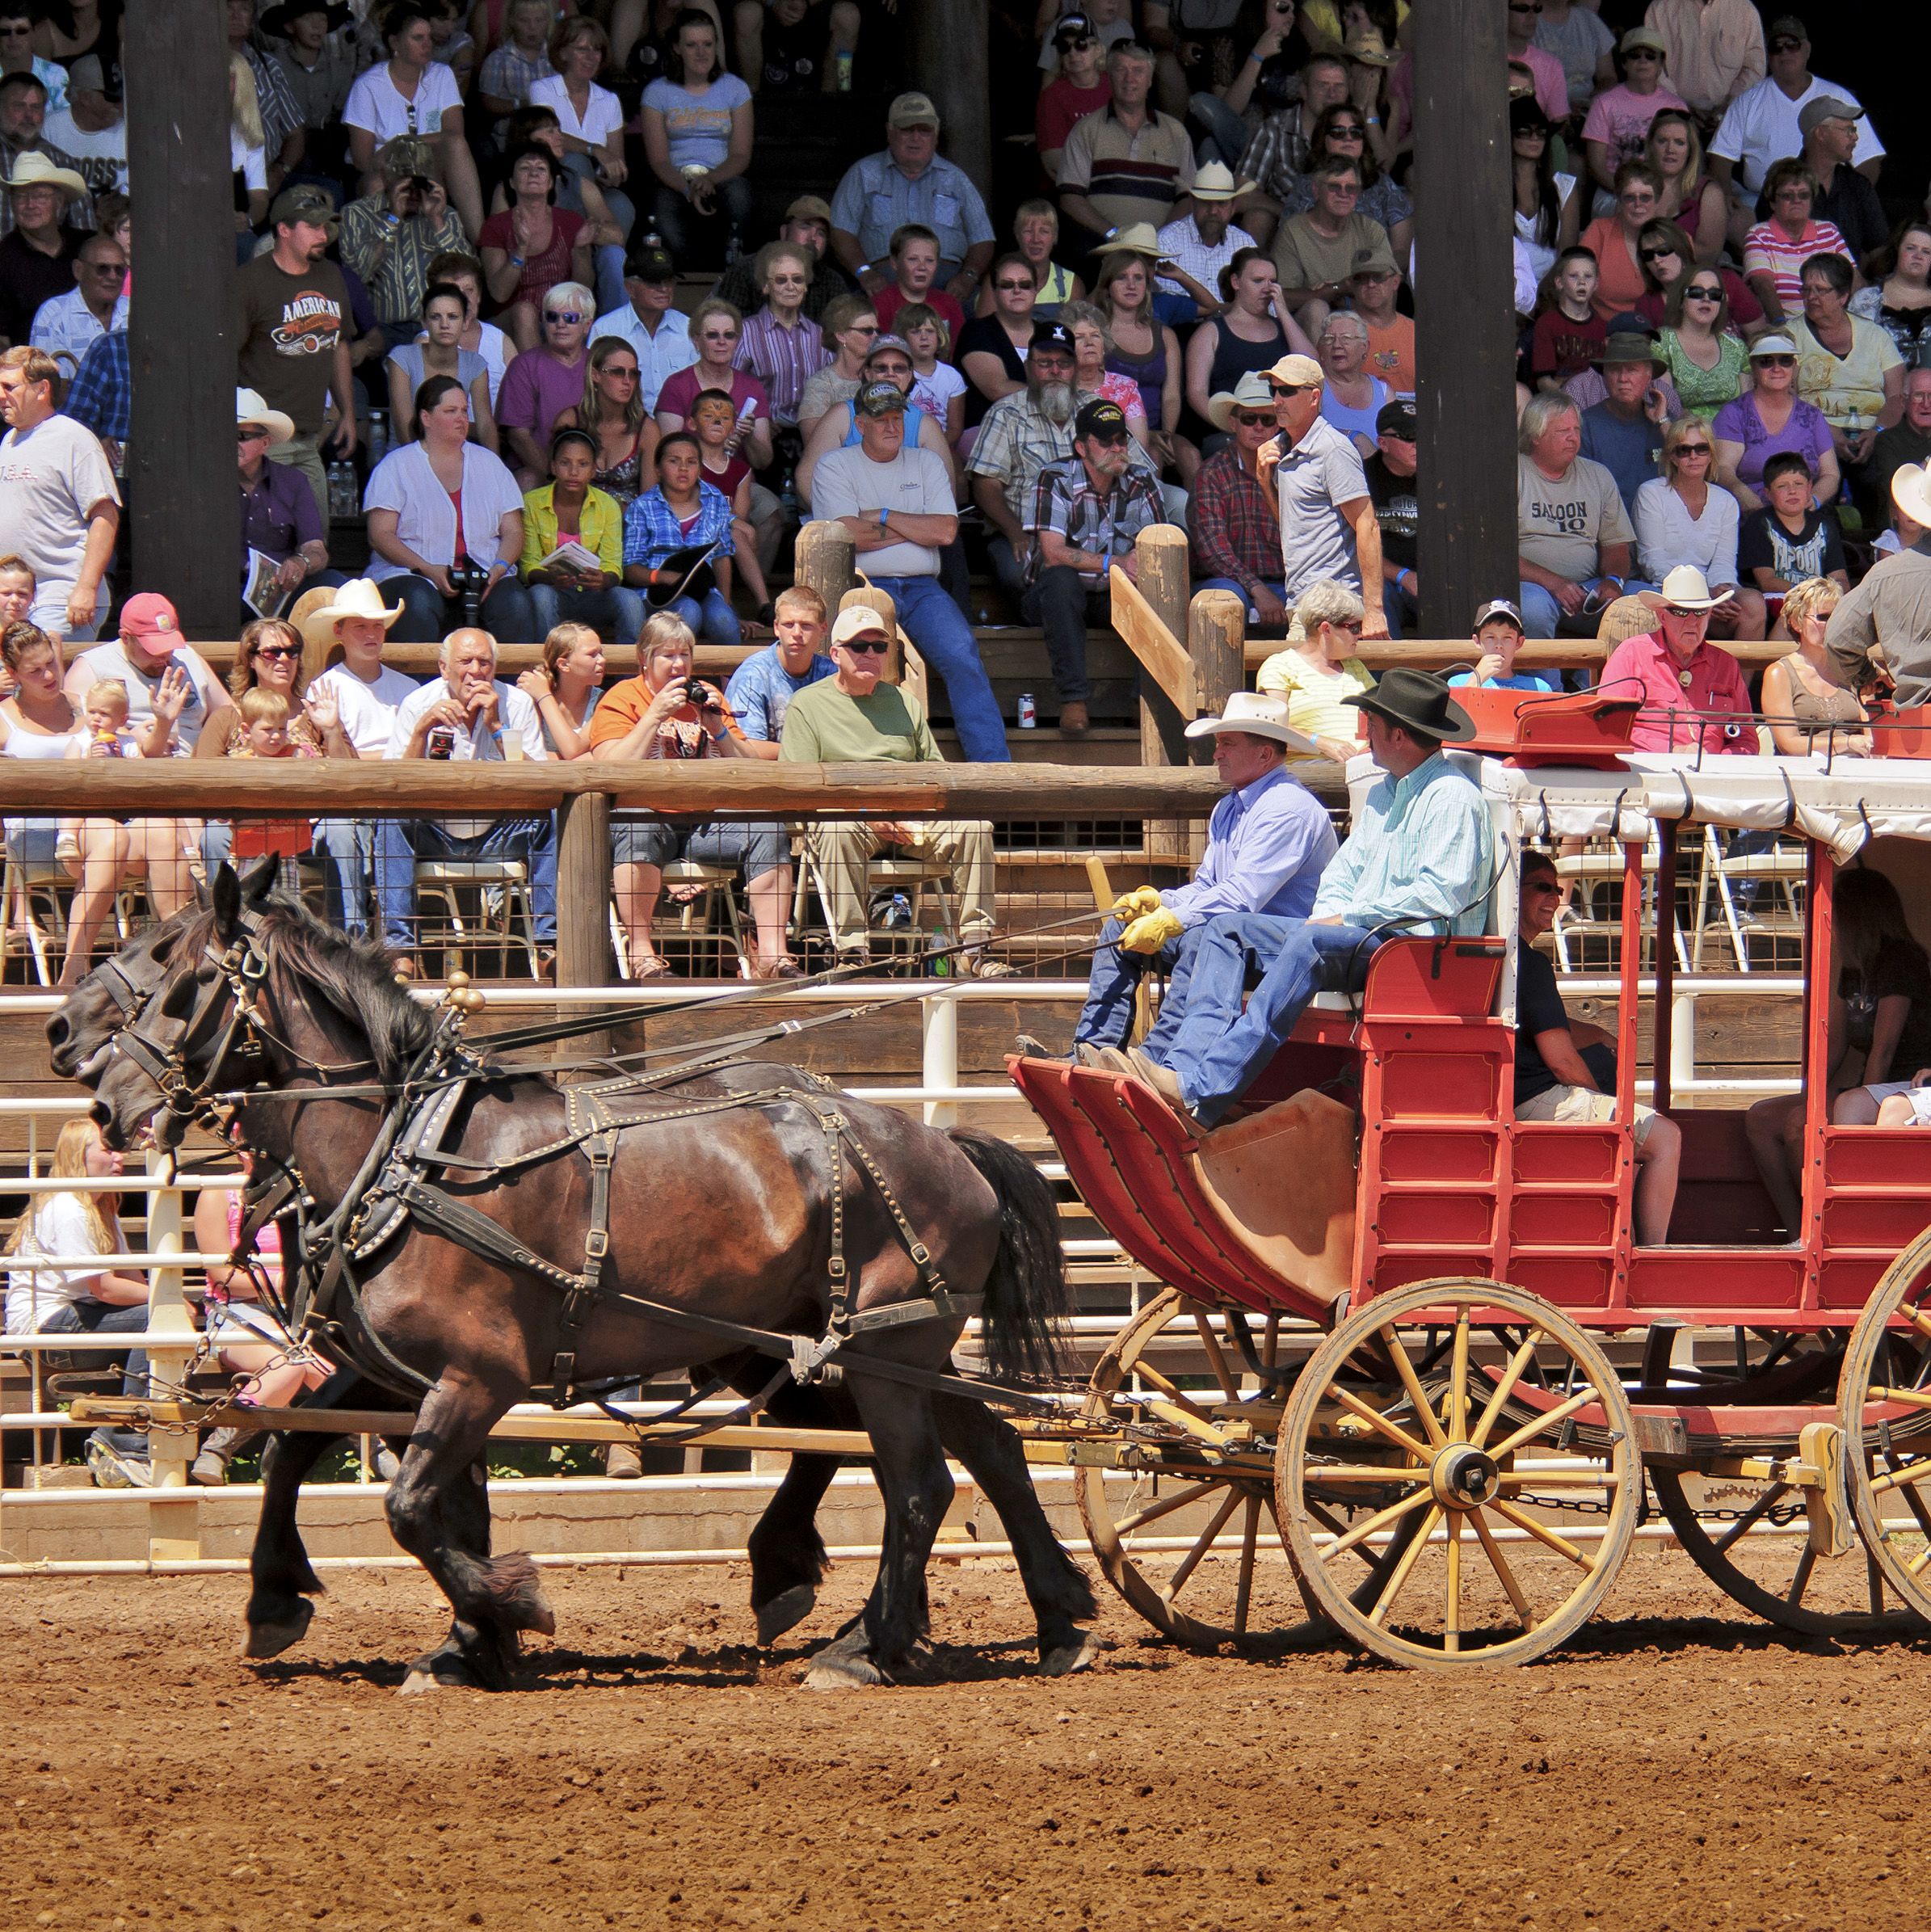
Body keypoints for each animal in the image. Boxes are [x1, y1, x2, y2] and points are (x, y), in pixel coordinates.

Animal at [45, 865, 1096, 1692]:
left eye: (175, 974)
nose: (92, 1078)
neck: (409, 1154)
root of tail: (948, 1144)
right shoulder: (406, 1373)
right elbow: (327, 1467)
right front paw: (399, 1628)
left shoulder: (477, 1375)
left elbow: (412, 1507)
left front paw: (509, 1609)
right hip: (859, 1348)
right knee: (985, 1448)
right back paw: (1048, 1616)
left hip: (883, 1347)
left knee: (916, 1482)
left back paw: (866, 1646)